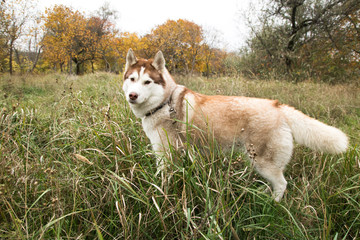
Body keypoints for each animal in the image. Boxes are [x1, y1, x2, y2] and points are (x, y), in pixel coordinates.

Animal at [121, 49, 348, 202]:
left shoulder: (165, 153)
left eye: (147, 82)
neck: (165, 103)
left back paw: (273, 203)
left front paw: (158, 192)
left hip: (263, 163)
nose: (132, 95)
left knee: (282, 184)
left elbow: (161, 178)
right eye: (132, 79)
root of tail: (278, 107)